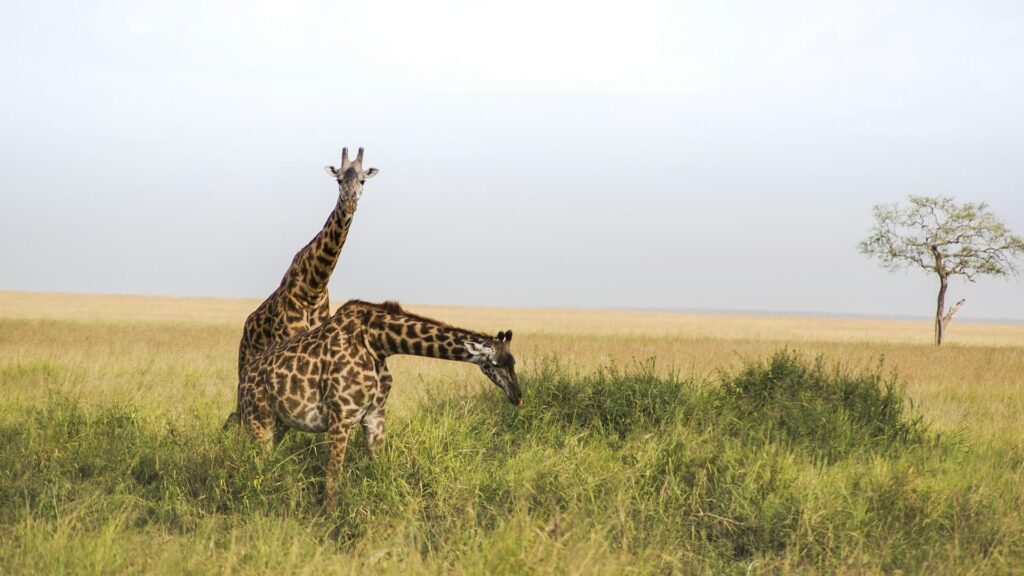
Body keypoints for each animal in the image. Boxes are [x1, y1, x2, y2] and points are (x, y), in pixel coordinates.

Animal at [228, 147, 380, 426]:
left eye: (363, 180)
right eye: (338, 179)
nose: (349, 203)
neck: (314, 285)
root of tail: (246, 328)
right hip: (245, 363)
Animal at [238, 297, 520, 504]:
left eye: (513, 362)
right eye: (495, 364)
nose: (517, 396)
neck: (377, 342)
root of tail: (244, 378)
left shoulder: (375, 416)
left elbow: (381, 470)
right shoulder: (340, 417)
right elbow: (333, 480)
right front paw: (331, 522)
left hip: (280, 424)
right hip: (259, 419)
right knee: (256, 465)